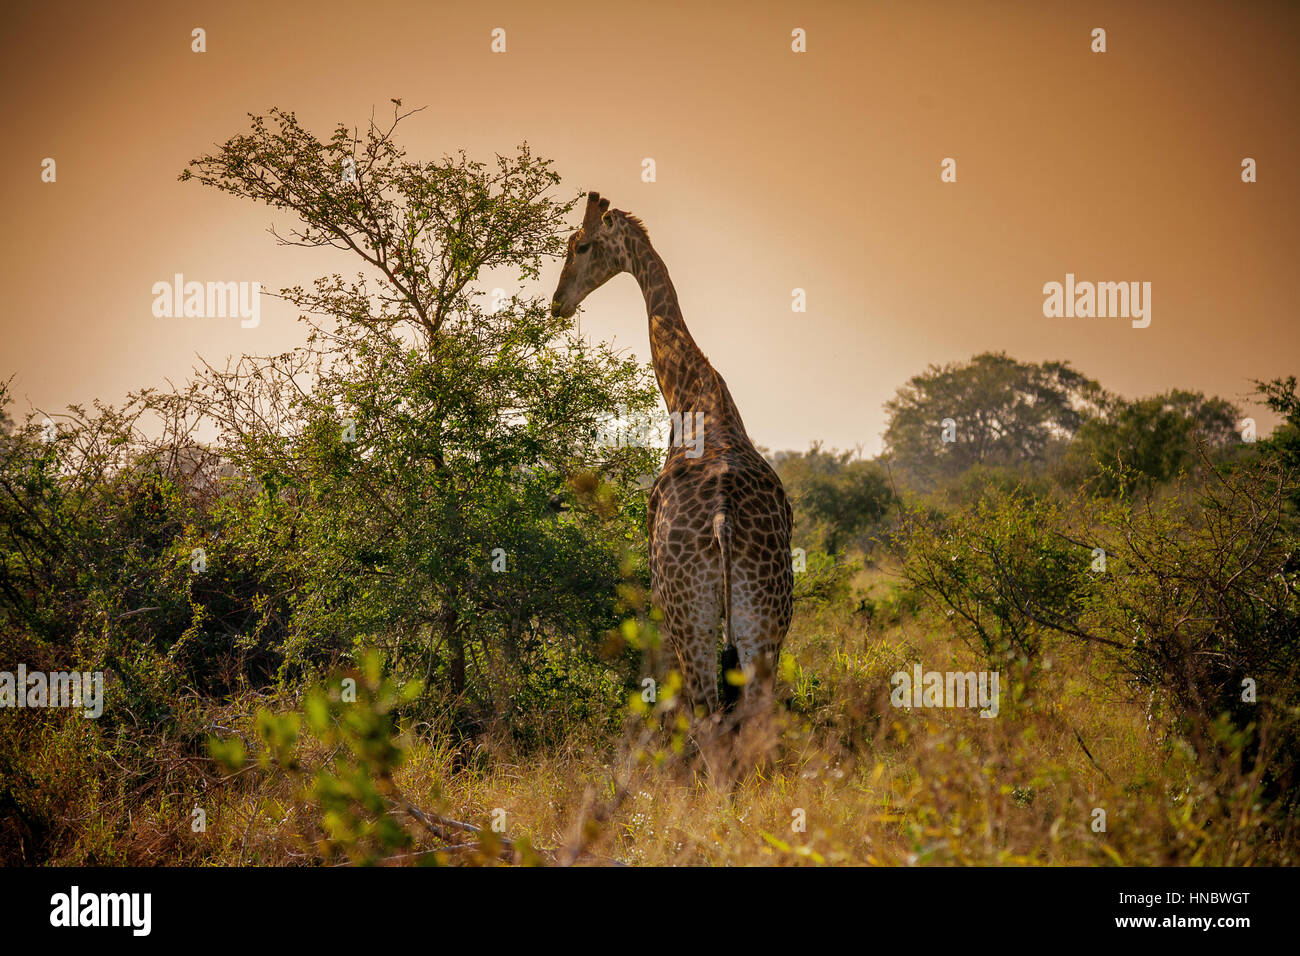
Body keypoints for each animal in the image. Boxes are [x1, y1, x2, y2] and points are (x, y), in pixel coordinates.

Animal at [548, 192, 790, 717]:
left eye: (582, 245)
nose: (557, 303)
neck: (694, 396)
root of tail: (722, 521)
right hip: (765, 622)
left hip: (689, 620)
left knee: (706, 717)